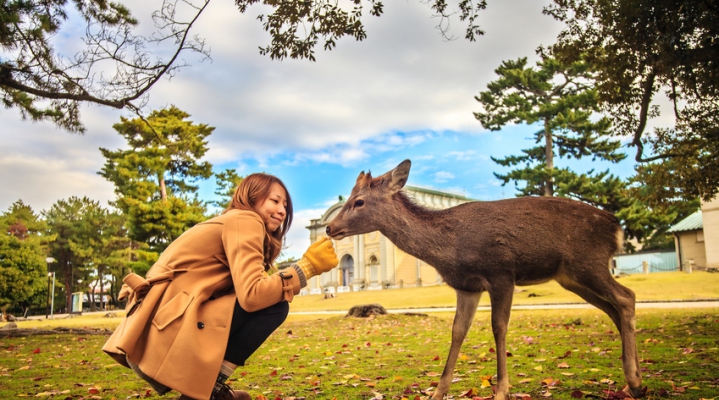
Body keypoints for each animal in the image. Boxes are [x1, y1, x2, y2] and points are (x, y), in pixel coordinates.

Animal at [326, 159, 648, 400]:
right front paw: (437, 392)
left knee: (626, 297)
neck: (449, 247)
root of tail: (616, 227)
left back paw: (634, 380)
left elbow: (498, 327)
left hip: (589, 263)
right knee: (614, 308)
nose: (329, 227)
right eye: (350, 198)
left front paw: (501, 390)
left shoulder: (501, 273)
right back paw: (634, 381)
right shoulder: (467, 286)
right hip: (572, 277)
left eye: (359, 201)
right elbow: (458, 331)